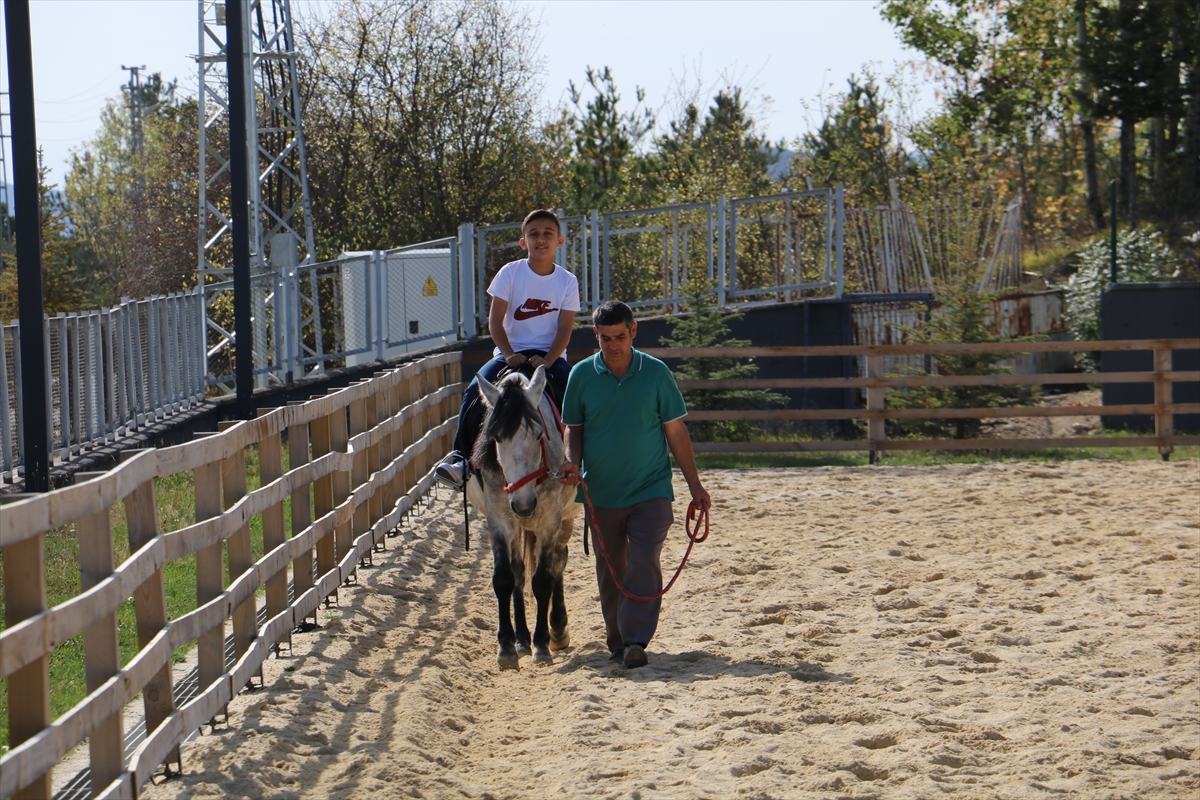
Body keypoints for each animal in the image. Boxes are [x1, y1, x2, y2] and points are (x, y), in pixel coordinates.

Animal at [463, 367, 580, 666]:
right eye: (497, 438)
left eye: (539, 435)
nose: (524, 505)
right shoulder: (499, 519)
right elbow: (505, 578)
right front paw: (507, 645)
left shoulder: (550, 519)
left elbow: (543, 579)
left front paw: (542, 644)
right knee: (518, 571)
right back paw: (522, 638)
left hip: (564, 519)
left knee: (558, 562)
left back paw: (557, 630)